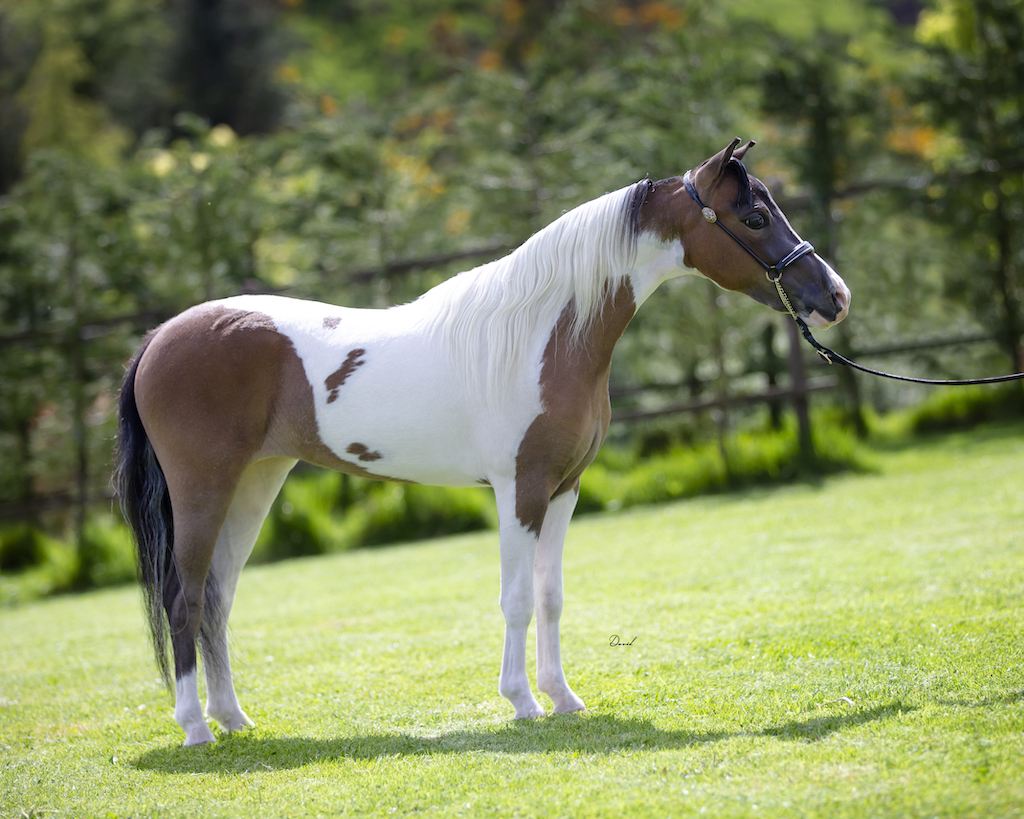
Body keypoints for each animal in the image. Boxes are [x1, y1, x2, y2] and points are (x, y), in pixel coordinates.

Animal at [116, 138, 850, 746]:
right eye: (753, 218)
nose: (834, 296)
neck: (544, 333)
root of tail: (158, 340)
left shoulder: (564, 489)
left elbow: (551, 596)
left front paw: (564, 697)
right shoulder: (517, 488)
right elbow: (516, 597)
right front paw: (522, 701)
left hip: (256, 485)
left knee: (216, 599)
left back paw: (234, 719)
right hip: (204, 489)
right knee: (183, 598)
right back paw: (196, 728)